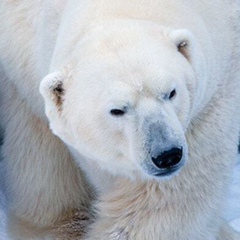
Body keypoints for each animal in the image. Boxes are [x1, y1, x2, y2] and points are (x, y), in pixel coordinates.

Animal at [0, 0, 240, 240]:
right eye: (117, 110)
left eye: (171, 92)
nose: (167, 155)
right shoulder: (22, 55)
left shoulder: (210, 98)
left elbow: (165, 202)